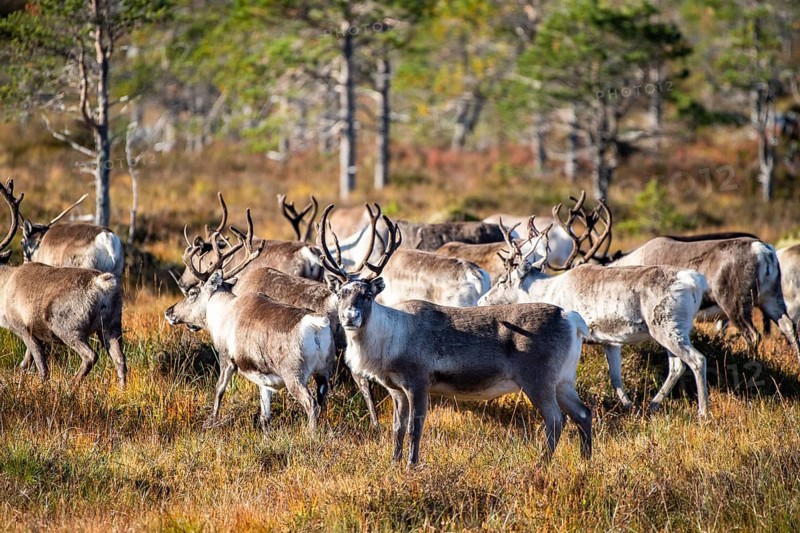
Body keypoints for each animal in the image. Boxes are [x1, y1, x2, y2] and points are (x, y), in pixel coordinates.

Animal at [0, 180, 126, 387]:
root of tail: (102, 283)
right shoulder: (38, 333)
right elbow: (30, 360)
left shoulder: (24, 329)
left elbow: (42, 366)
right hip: (112, 324)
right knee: (120, 360)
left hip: (68, 327)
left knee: (90, 356)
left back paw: (71, 386)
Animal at [165, 209, 334, 432]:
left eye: (193, 293)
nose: (169, 311)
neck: (223, 312)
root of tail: (318, 326)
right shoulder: (263, 376)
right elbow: (265, 412)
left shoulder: (226, 357)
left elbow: (219, 389)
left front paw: (210, 421)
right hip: (324, 371)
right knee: (322, 401)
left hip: (294, 375)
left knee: (311, 404)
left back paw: (309, 434)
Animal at [317, 204, 593, 465]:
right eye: (340, 294)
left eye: (367, 295)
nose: (350, 317)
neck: (388, 338)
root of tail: (571, 318)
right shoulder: (396, 390)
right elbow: (397, 429)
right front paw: (394, 463)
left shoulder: (418, 382)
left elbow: (415, 429)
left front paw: (411, 465)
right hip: (564, 380)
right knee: (583, 413)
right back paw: (585, 460)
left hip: (538, 379)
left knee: (556, 419)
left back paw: (540, 465)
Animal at [478, 195, 711, 416]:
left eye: (502, 280)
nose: (482, 300)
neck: (546, 290)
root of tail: (696, 281)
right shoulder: (611, 342)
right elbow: (616, 379)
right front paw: (630, 407)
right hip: (672, 329)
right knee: (677, 366)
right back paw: (653, 405)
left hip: (667, 327)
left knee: (697, 359)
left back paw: (703, 412)